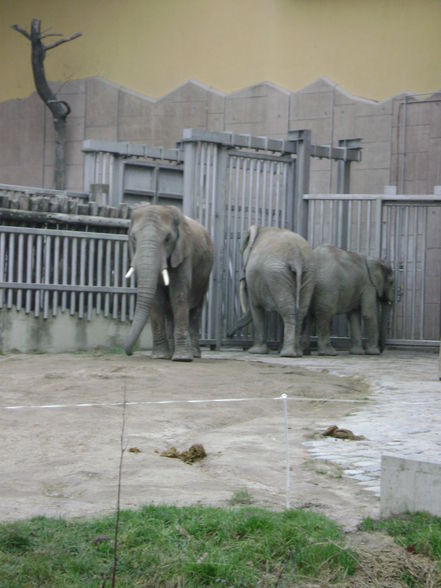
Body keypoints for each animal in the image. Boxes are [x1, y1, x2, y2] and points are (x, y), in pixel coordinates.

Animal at [123, 207, 214, 362]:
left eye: (167, 239)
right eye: (134, 238)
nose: (130, 353)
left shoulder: (184, 254)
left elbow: (178, 295)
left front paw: (182, 358)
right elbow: (157, 300)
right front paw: (160, 356)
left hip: (205, 275)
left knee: (196, 311)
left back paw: (194, 354)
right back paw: (171, 353)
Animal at [235, 224, 314, 354]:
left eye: (241, 252)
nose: (228, 335)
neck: (261, 228)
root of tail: (297, 257)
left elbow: (255, 306)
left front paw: (255, 351)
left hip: (276, 274)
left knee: (287, 308)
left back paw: (288, 354)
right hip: (308, 272)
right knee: (300, 310)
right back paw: (296, 352)